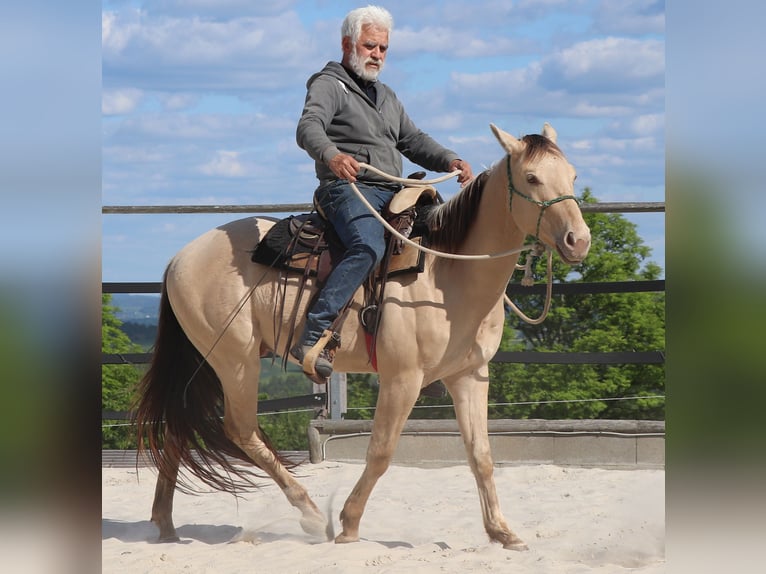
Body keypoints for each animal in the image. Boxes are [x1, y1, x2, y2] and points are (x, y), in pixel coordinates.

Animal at [134, 123, 591, 550]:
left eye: (571, 174)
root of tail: (180, 258)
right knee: (242, 431)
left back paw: (165, 525)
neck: (448, 273)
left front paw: (502, 532)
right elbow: (381, 451)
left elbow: (481, 455)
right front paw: (349, 525)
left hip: (208, 359)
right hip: (236, 362)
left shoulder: (469, 375)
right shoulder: (402, 379)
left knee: (177, 426)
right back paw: (311, 514)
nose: (579, 240)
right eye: (532, 177)